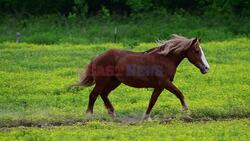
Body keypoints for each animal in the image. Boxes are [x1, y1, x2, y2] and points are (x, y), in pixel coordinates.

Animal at [77, 34, 209, 119]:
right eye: (197, 51)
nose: (207, 68)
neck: (165, 59)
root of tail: (98, 57)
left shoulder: (159, 86)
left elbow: (153, 100)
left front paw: (146, 116)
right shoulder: (164, 83)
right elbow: (178, 93)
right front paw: (186, 111)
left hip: (114, 82)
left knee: (103, 94)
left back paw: (112, 113)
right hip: (102, 81)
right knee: (94, 94)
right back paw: (89, 114)